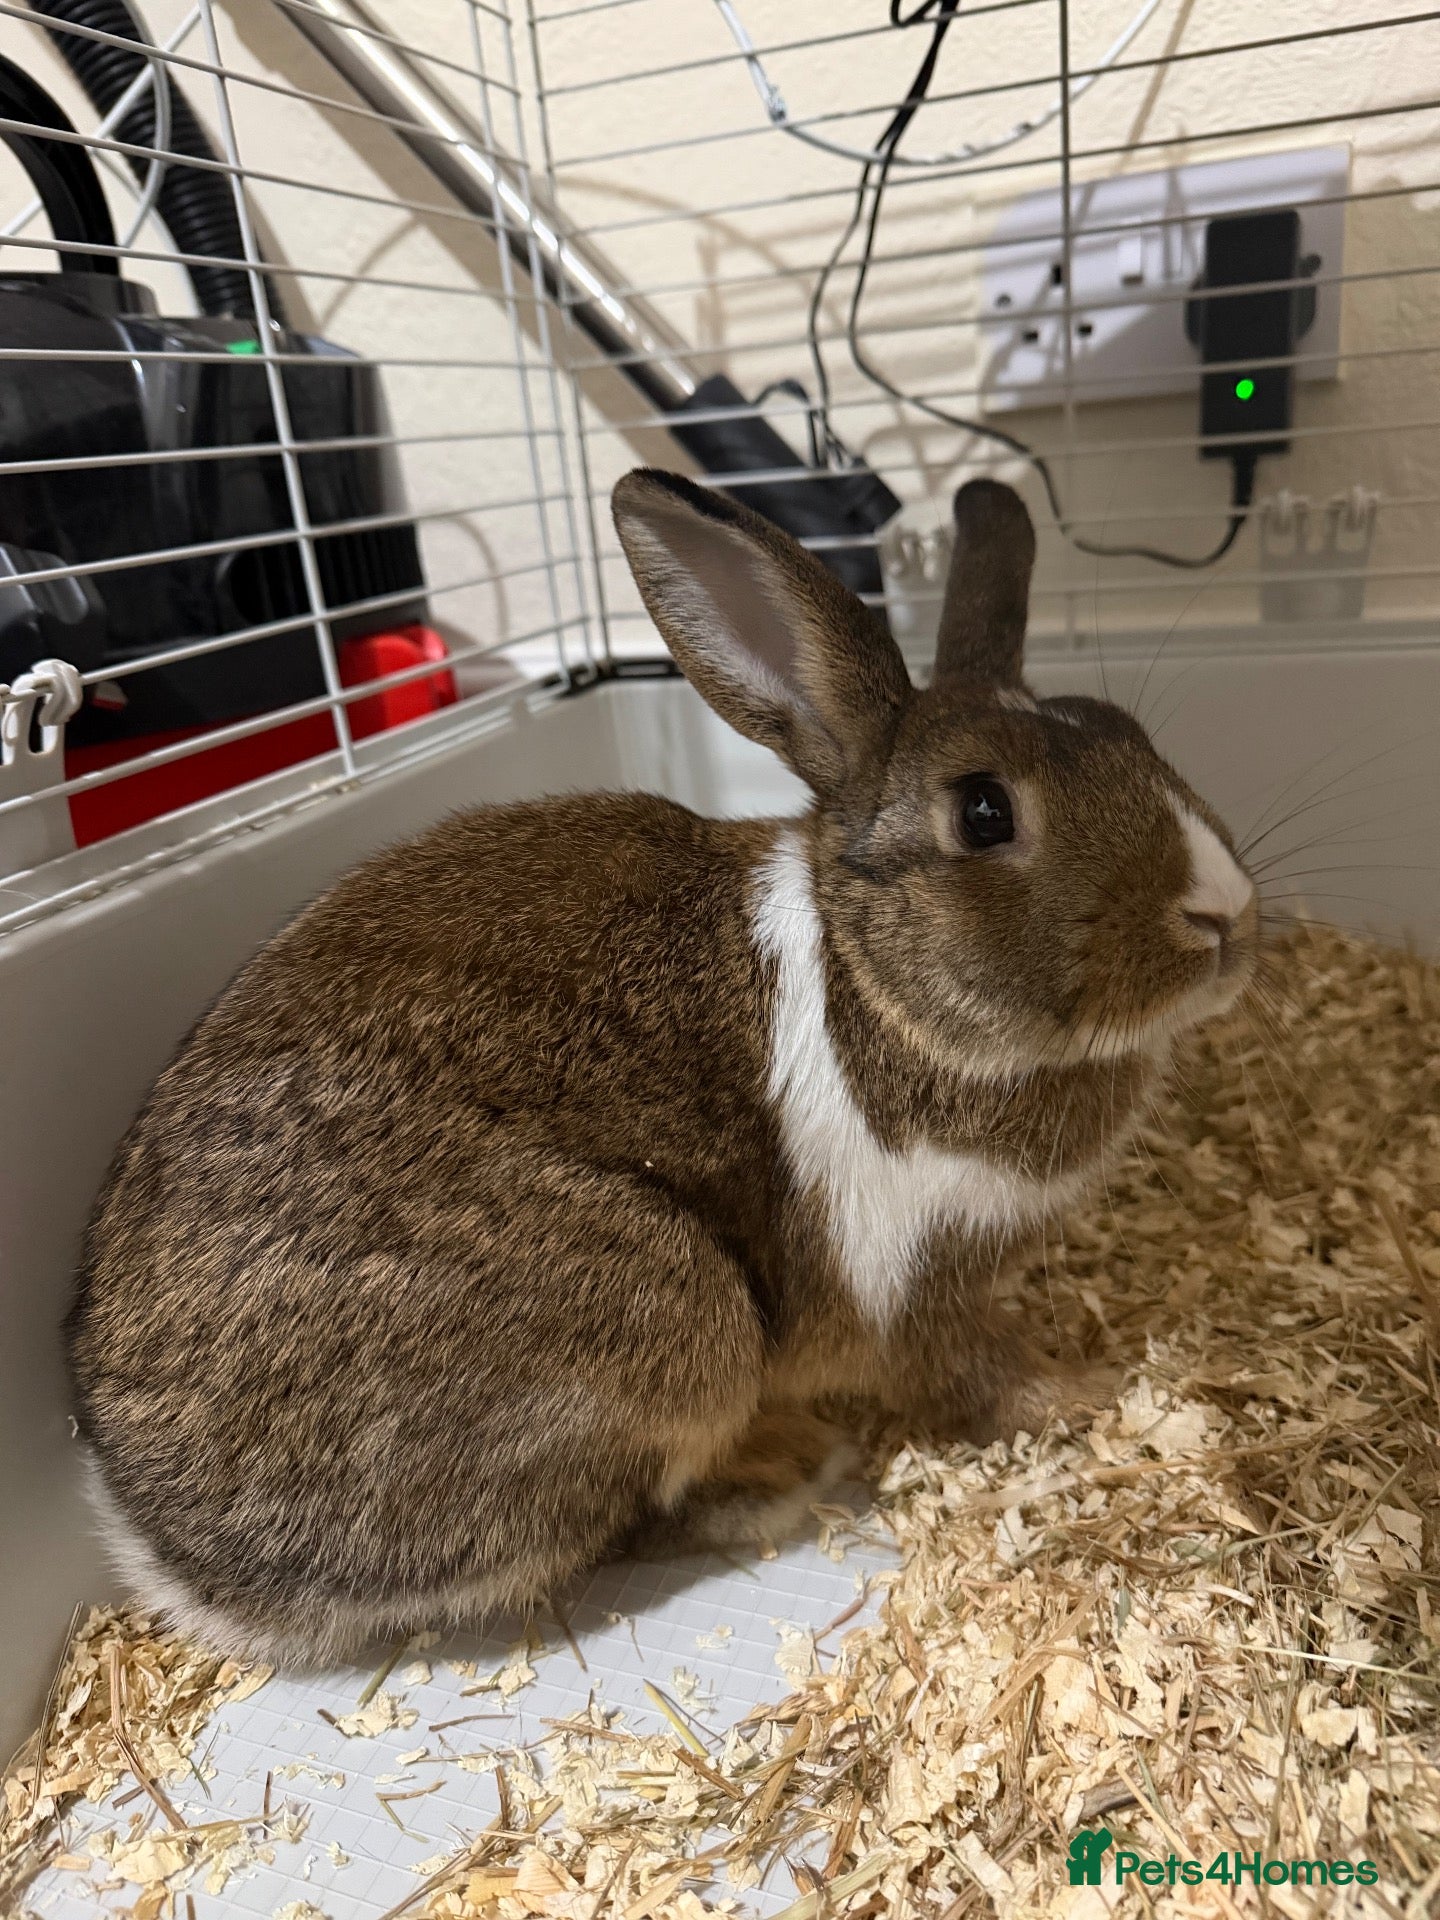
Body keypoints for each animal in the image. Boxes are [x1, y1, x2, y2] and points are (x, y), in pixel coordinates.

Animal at [65, 470, 1258, 1666]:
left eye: (1130, 734)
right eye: (983, 811)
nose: (1225, 915)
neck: (875, 987)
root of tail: (183, 1560)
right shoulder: (913, 1278)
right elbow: (982, 1375)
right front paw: (1091, 1392)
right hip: (676, 1322)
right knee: (624, 1520)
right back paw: (785, 1466)